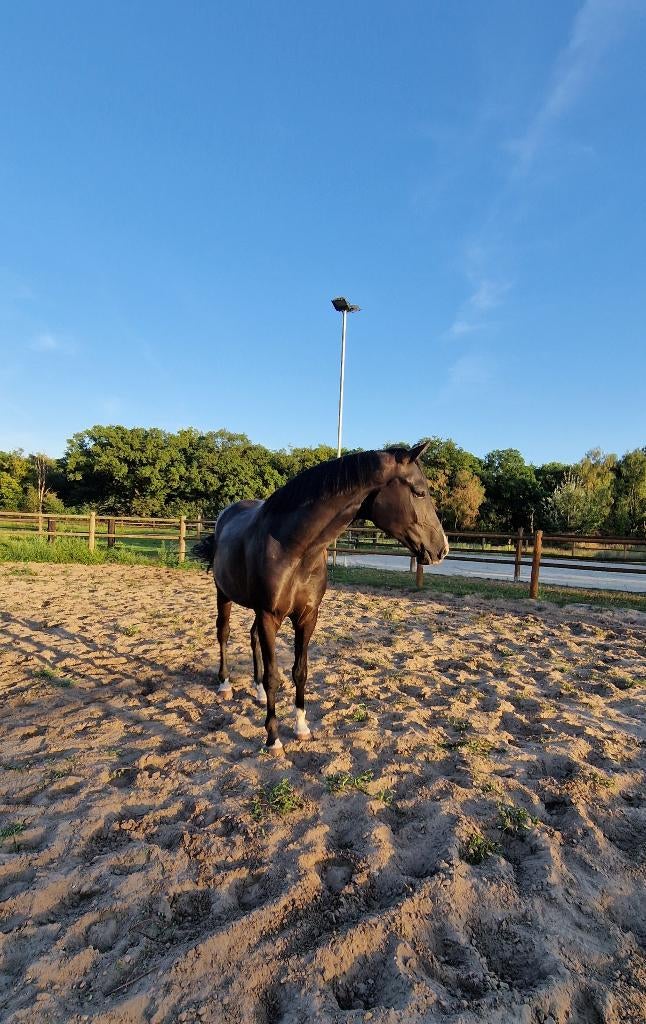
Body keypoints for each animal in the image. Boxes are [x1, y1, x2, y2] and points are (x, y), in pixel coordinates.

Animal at [193, 442, 449, 748]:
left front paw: (301, 727)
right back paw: (225, 684)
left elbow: (299, 671)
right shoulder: (270, 615)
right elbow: (274, 676)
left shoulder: (307, 617)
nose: (442, 548)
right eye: (419, 492)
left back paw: (258, 692)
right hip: (224, 594)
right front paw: (273, 738)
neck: (294, 548)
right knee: (224, 632)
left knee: (252, 637)